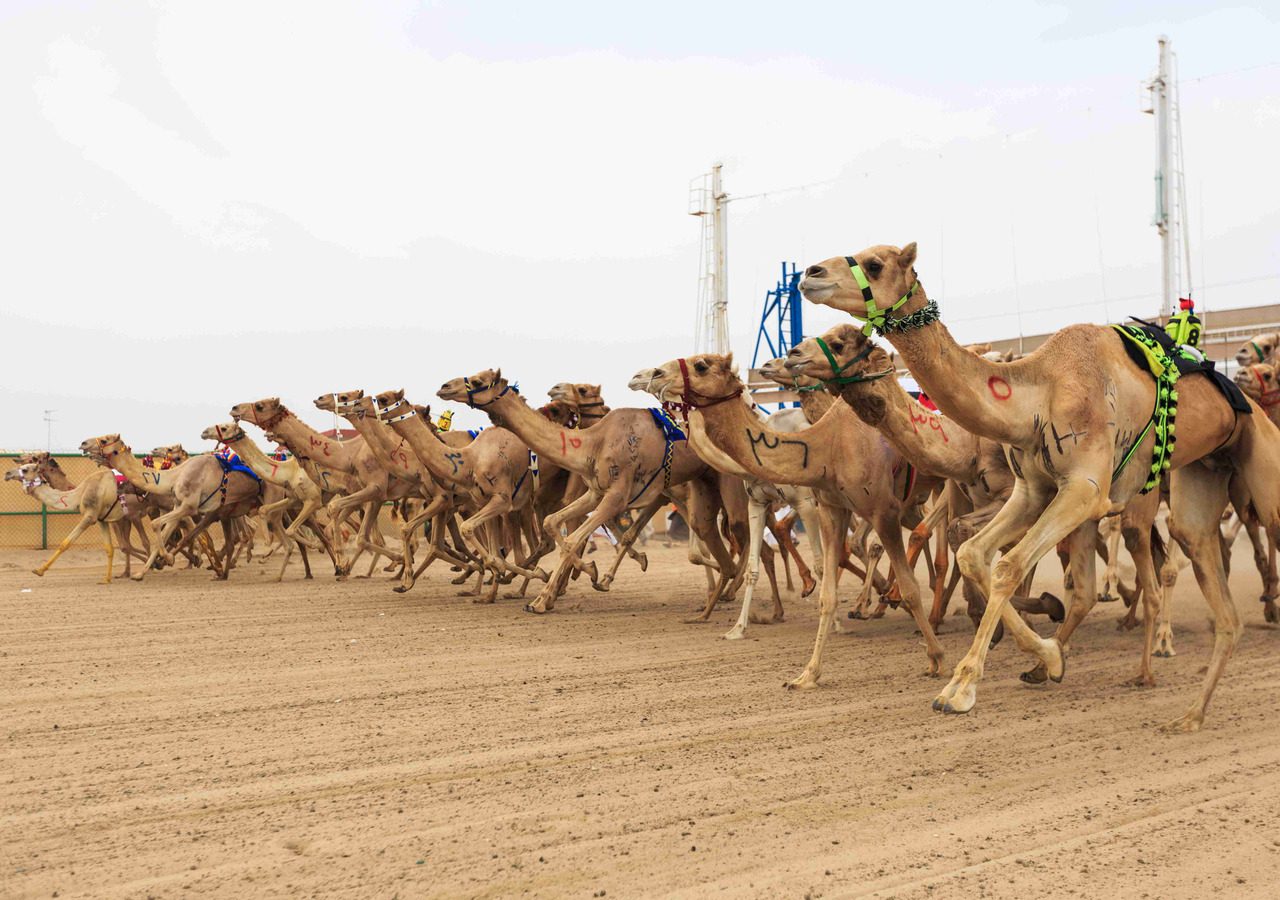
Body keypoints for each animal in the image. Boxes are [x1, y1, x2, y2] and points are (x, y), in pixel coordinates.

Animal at [5, 458, 159, 583]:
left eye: (25, 469)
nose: (7, 473)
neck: (80, 493)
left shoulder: (90, 517)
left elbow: (65, 543)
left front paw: (39, 570)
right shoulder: (103, 519)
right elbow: (111, 548)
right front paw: (106, 579)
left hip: (146, 512)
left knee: (151, 538)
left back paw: (153, 565)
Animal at [440, 368, 742, 617]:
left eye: (478, 381)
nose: (444, 386)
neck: (593, 442)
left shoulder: (617, 496)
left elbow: (573, 539)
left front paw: (543, 598)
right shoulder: (595, 492)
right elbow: (553, 523)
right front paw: (578, 579)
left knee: (739, 531)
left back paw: (730, 588)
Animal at [634, 353, 947, 691]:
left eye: (702, 365)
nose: (651, 374)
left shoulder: (815, 503)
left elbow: (825, 562)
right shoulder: (764, 502)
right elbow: (757, 566)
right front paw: (740, 629)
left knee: (926, 537)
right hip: (914, 497)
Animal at [798, 240, 1280, 732]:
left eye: (874, 264)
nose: (809, 273)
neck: (1037, 394)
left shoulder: (1085, 490)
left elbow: (1009, 567)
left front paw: (961, 688)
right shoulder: (1033, 491)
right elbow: (975, 555)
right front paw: (1048, 657)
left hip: (1254, 475)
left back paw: (1161, 661)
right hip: (1201, 477)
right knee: (1204, 579)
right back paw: (1190, 714)